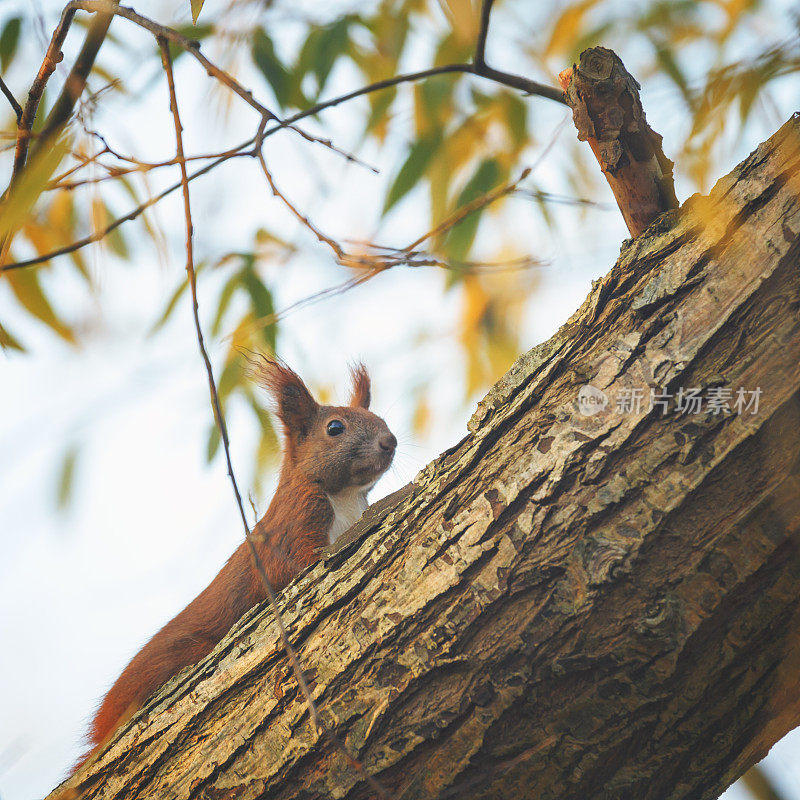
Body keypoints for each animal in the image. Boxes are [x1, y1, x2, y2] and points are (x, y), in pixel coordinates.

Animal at [80, 360, 394, 764]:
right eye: (335, 428)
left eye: (379, 417)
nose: (390, 442)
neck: (344, 497)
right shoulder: (291, 531)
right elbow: (298, 565)